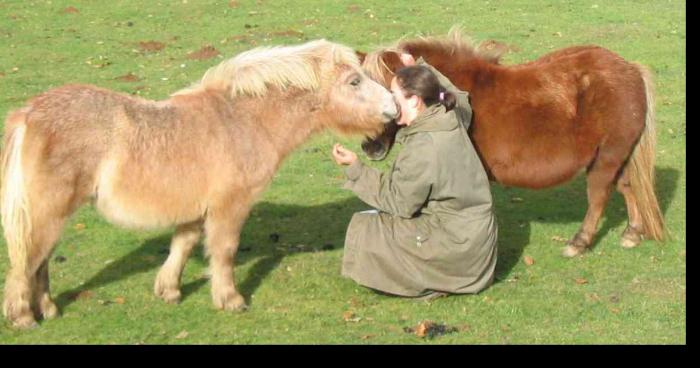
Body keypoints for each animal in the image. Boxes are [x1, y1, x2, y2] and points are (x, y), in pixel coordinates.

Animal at [0, 39, 400, 328]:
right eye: (354, 82)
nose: (394, 109)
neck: (240, 121)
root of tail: (27, 115)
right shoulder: (229, 208)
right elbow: (223, 251)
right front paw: (230, 300)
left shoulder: (195, 210)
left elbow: (182, 246)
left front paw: (169, 292)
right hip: (48, 216)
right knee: (27, 263)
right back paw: (24, 317)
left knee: (39, 264)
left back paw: (49, 310)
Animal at [364, 28, 664, 258]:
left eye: (390, 97)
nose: (369, 147)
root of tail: (630, 69)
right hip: (617, 156)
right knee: (627, 187)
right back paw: (632, 233)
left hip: (606, 158)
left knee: (599, 196)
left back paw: (579, 242)